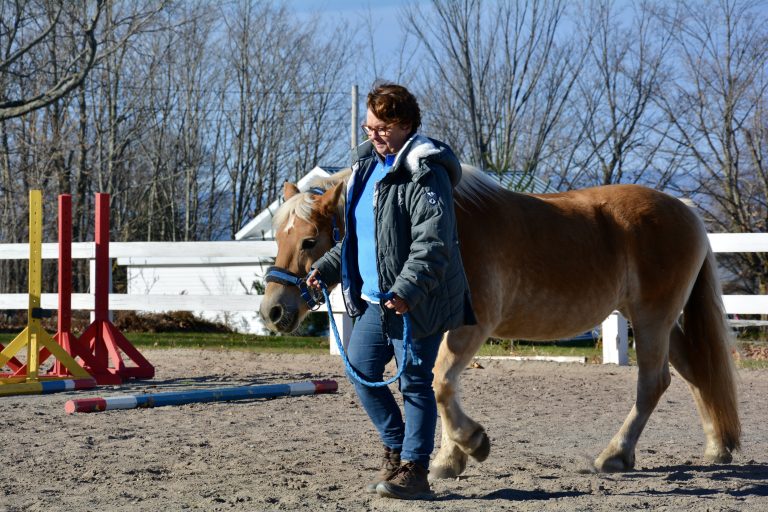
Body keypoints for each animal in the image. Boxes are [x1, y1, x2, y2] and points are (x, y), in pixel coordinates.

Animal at [259, 165, 740, 478]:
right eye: (276, 236)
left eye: (309, 240)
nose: (273, 311)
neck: (444, 231)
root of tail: (686, 210)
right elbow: (438, 387)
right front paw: (449, 459)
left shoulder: (471, 327)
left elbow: (440, 384)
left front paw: (470, 444)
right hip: (659, 321)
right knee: (698, 373)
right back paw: (716, 448)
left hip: (653, 319)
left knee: (653, 384)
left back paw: (616, 456)